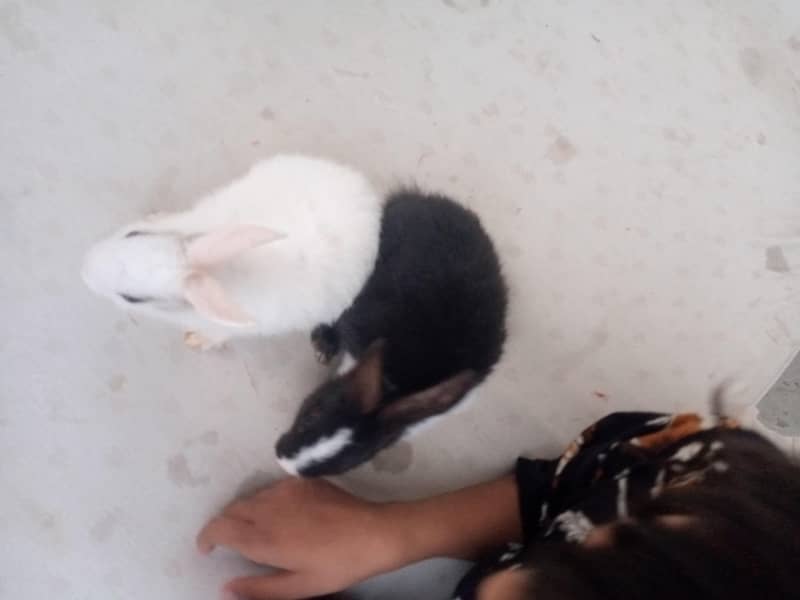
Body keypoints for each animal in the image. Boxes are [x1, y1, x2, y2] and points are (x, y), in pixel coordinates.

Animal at [275, 189, 508, 477]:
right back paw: (323, 342)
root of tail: (425, 199)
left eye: (354, 462)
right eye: (311, 414)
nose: (281, 459)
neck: (391, 388)